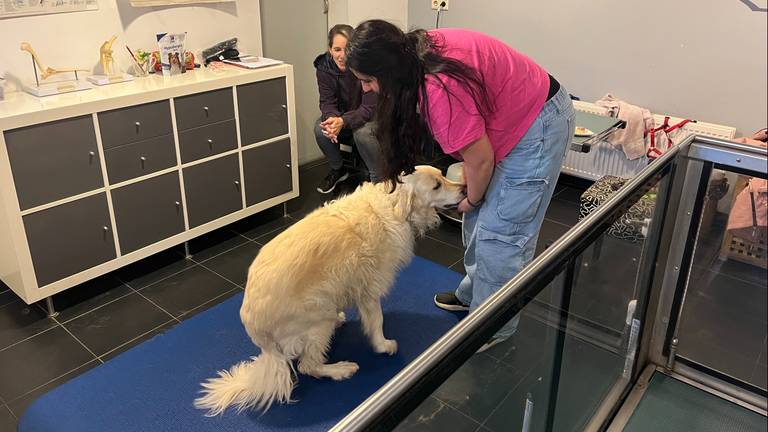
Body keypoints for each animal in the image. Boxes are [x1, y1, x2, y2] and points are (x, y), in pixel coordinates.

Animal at [195, 165, 464, 416]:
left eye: (443, 175)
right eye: (437, 186)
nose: (463, 188)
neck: (391, 206)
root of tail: (262, 341)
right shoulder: (370, 289)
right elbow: (377, 321)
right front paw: (383, 345)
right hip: (318, 315)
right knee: (307, 366)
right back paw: (340, 369)